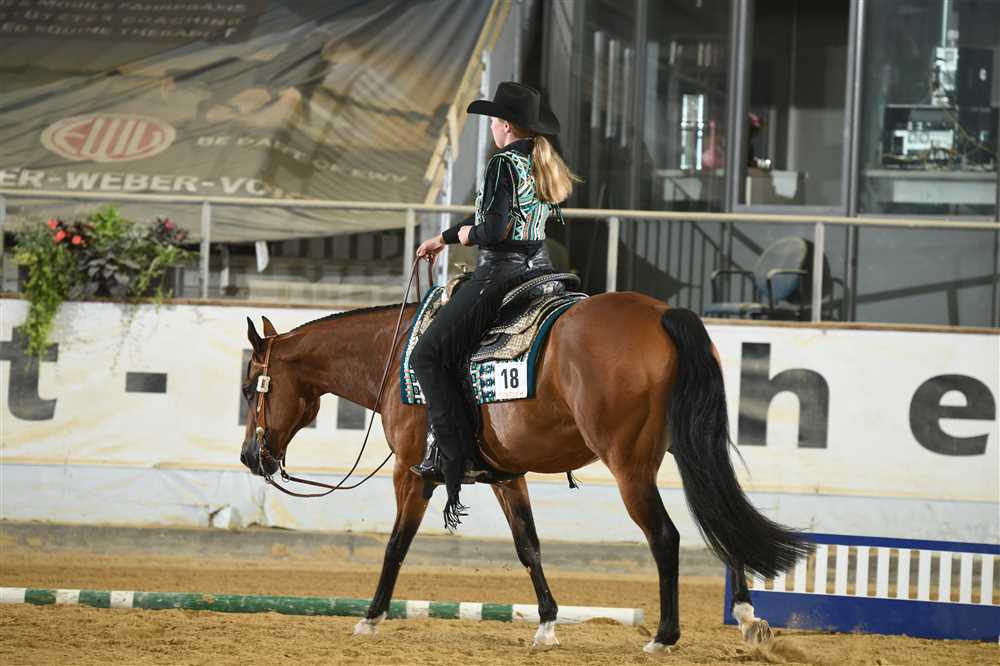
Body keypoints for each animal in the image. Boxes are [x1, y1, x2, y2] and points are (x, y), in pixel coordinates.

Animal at [238, 291, 812, 653]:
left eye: (249, 387)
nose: (249, 457)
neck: (397, 357)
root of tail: (663, 314)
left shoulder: (413, 473)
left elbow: (396, 546)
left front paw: (370, 618)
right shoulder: (507, 476)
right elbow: (528, 546)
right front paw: (547, 625)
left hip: (630, 467)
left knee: (667, 536)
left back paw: (664, 636)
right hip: (687, 449)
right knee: (720, 518)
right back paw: (747, 618)